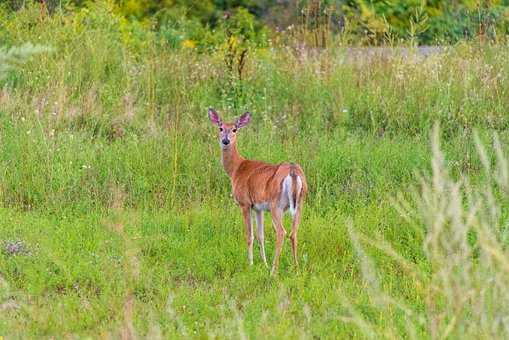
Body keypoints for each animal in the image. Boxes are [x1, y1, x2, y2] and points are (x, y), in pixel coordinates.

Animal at [208, 107, 308, 274]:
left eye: (234, 129)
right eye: (220, 128)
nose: (225, 141)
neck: (236, 169)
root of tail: (293, 172)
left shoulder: (245, 203)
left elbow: (250, 235)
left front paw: (251, 264)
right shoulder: (258, 208)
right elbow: (260, 235)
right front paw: (263, 263)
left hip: (276, 205)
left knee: (281, 232)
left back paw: (274, 271)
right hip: (300, 203)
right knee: (294, 233)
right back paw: (296, 269)